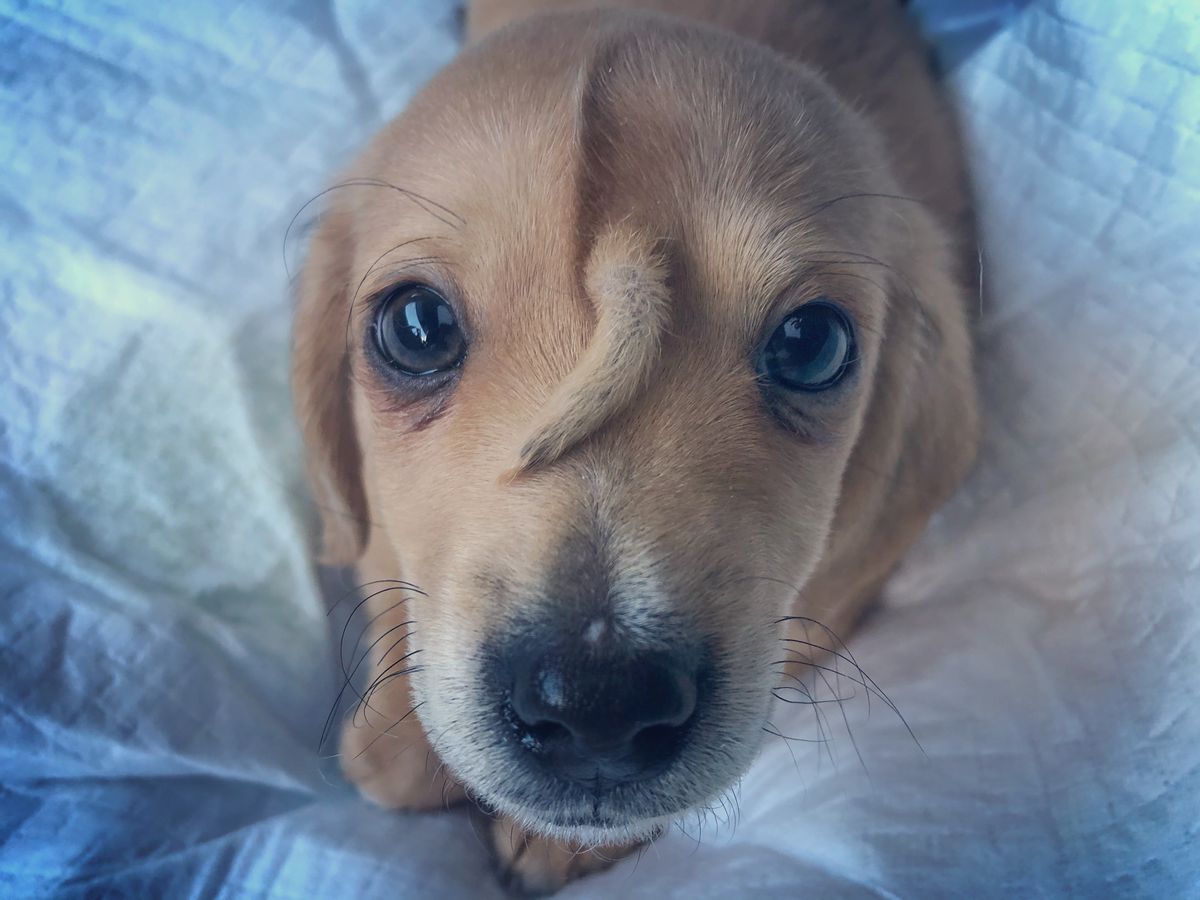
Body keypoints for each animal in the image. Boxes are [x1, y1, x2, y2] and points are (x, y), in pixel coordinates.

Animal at [295, 0, 979, 897]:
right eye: (416, 327)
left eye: (812, 344)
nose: (599, 705)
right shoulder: (382, 529)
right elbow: (390, 591)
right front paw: (396, 742)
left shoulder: (823, 601)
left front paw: (553, 841)